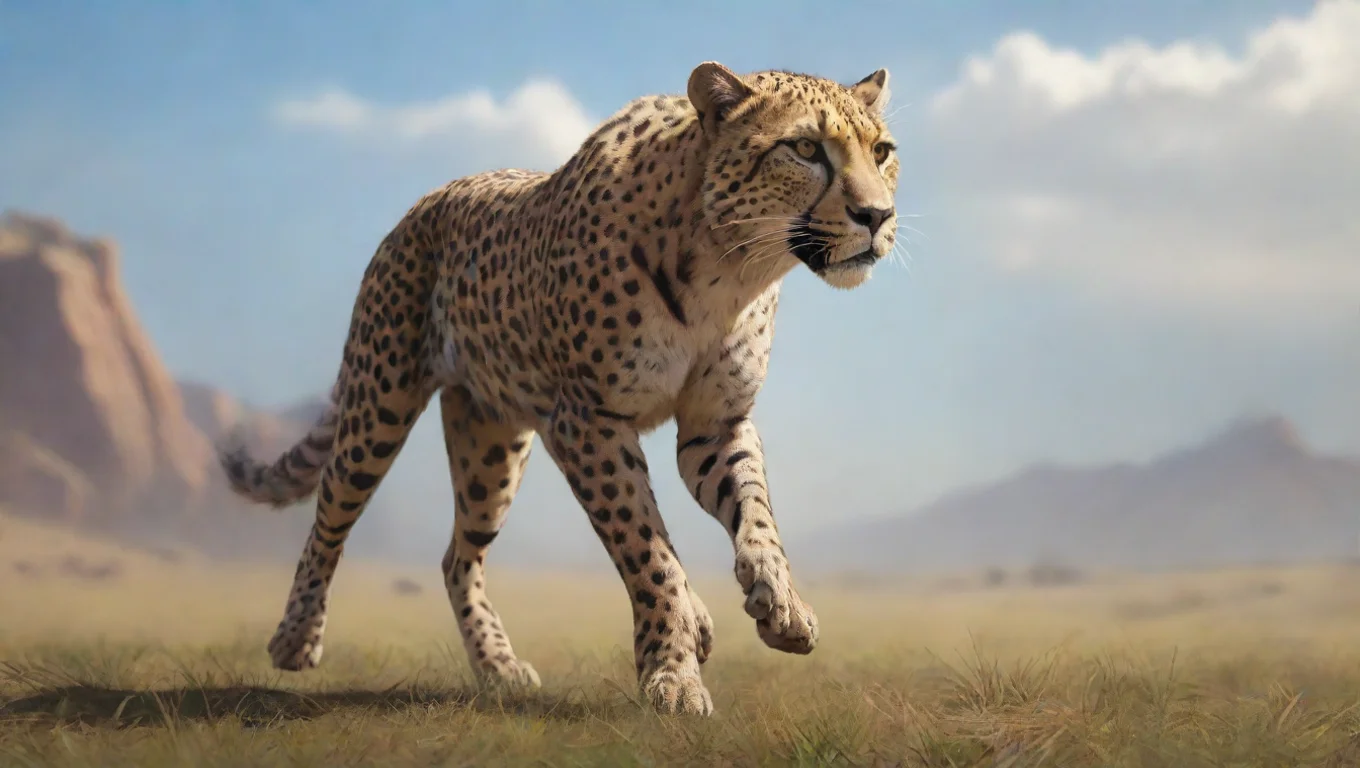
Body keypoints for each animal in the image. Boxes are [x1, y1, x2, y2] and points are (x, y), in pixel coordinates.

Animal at [218, 61, 900, 716]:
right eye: (806, 149)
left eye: (883, 151)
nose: (877, 216)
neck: (732, 267)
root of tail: (426, 201)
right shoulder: (585, 421)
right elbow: (647, 549)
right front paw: (673, 674)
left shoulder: (714, 424)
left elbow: (755, 513)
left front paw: (781, 603)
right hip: (378, 405)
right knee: (330, 515)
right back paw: (295, 638)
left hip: (490, 449)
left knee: (458, 556)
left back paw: (500, 666)